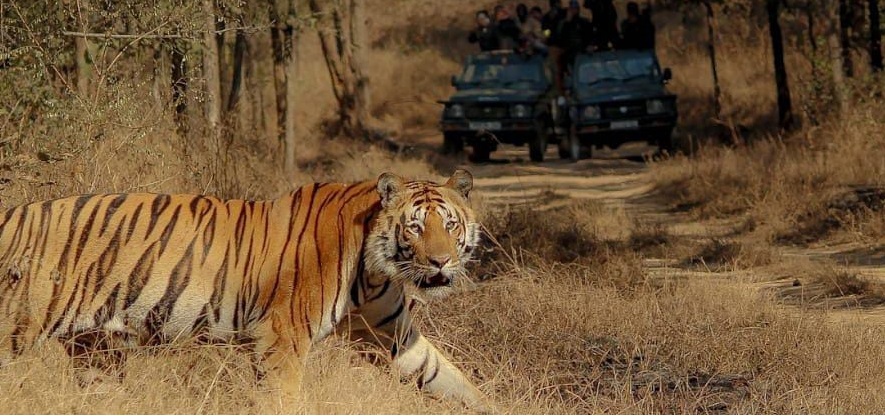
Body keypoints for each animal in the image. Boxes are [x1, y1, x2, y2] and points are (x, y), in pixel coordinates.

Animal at [0, 169, 486, 410]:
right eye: (415, 227)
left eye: (449, 225)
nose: (441, 261)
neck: (375, 270)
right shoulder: (281, 337)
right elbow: (284, 399)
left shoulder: (390, 333)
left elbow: (445, 375)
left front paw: (490, 405)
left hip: (96, 353)